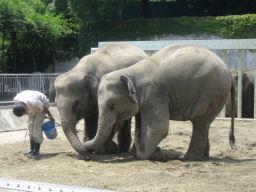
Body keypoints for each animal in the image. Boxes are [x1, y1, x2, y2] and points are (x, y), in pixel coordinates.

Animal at [84, 44, 236, 161]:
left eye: (112, 104)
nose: (86, 149)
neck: (130, 72)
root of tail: (228, 70)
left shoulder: (153, 93)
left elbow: (158, 127)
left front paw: (152, 154)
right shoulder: (144, 100)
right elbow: (142, 123)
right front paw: (143, 150)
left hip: (212, 91)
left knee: (199, 119)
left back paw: (189, 159)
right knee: (204, 123)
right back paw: (203, 156)